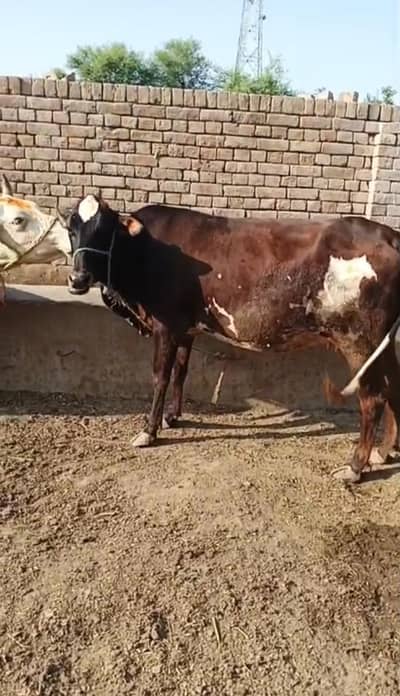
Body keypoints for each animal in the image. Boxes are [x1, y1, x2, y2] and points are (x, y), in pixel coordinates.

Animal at [64, 193, 400, 483]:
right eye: (71, 229)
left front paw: (149, 431)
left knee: (372, 399)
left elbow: (160, 376)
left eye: (104, 230)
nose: (77, 279)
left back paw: (355, 467)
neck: (145, 250)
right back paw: (384, 452)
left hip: (359, 340)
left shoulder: (165, 324)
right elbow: (181, 371)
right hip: (382, 343)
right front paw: (173, 417)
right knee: (393, 387)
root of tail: (387, 234)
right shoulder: (186, 327)